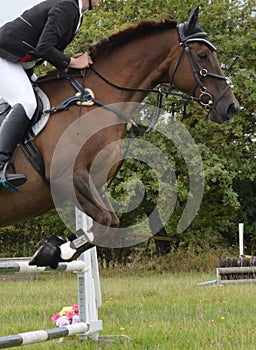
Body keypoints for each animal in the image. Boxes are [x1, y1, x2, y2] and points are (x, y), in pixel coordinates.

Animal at [0, 6, 240, 268]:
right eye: (203, 55)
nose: (231, 107)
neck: (96, 98)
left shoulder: (95, 182)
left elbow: (108, 223)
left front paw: (53, 248)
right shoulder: (66, 176)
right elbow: (108, 222)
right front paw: (55, 250)